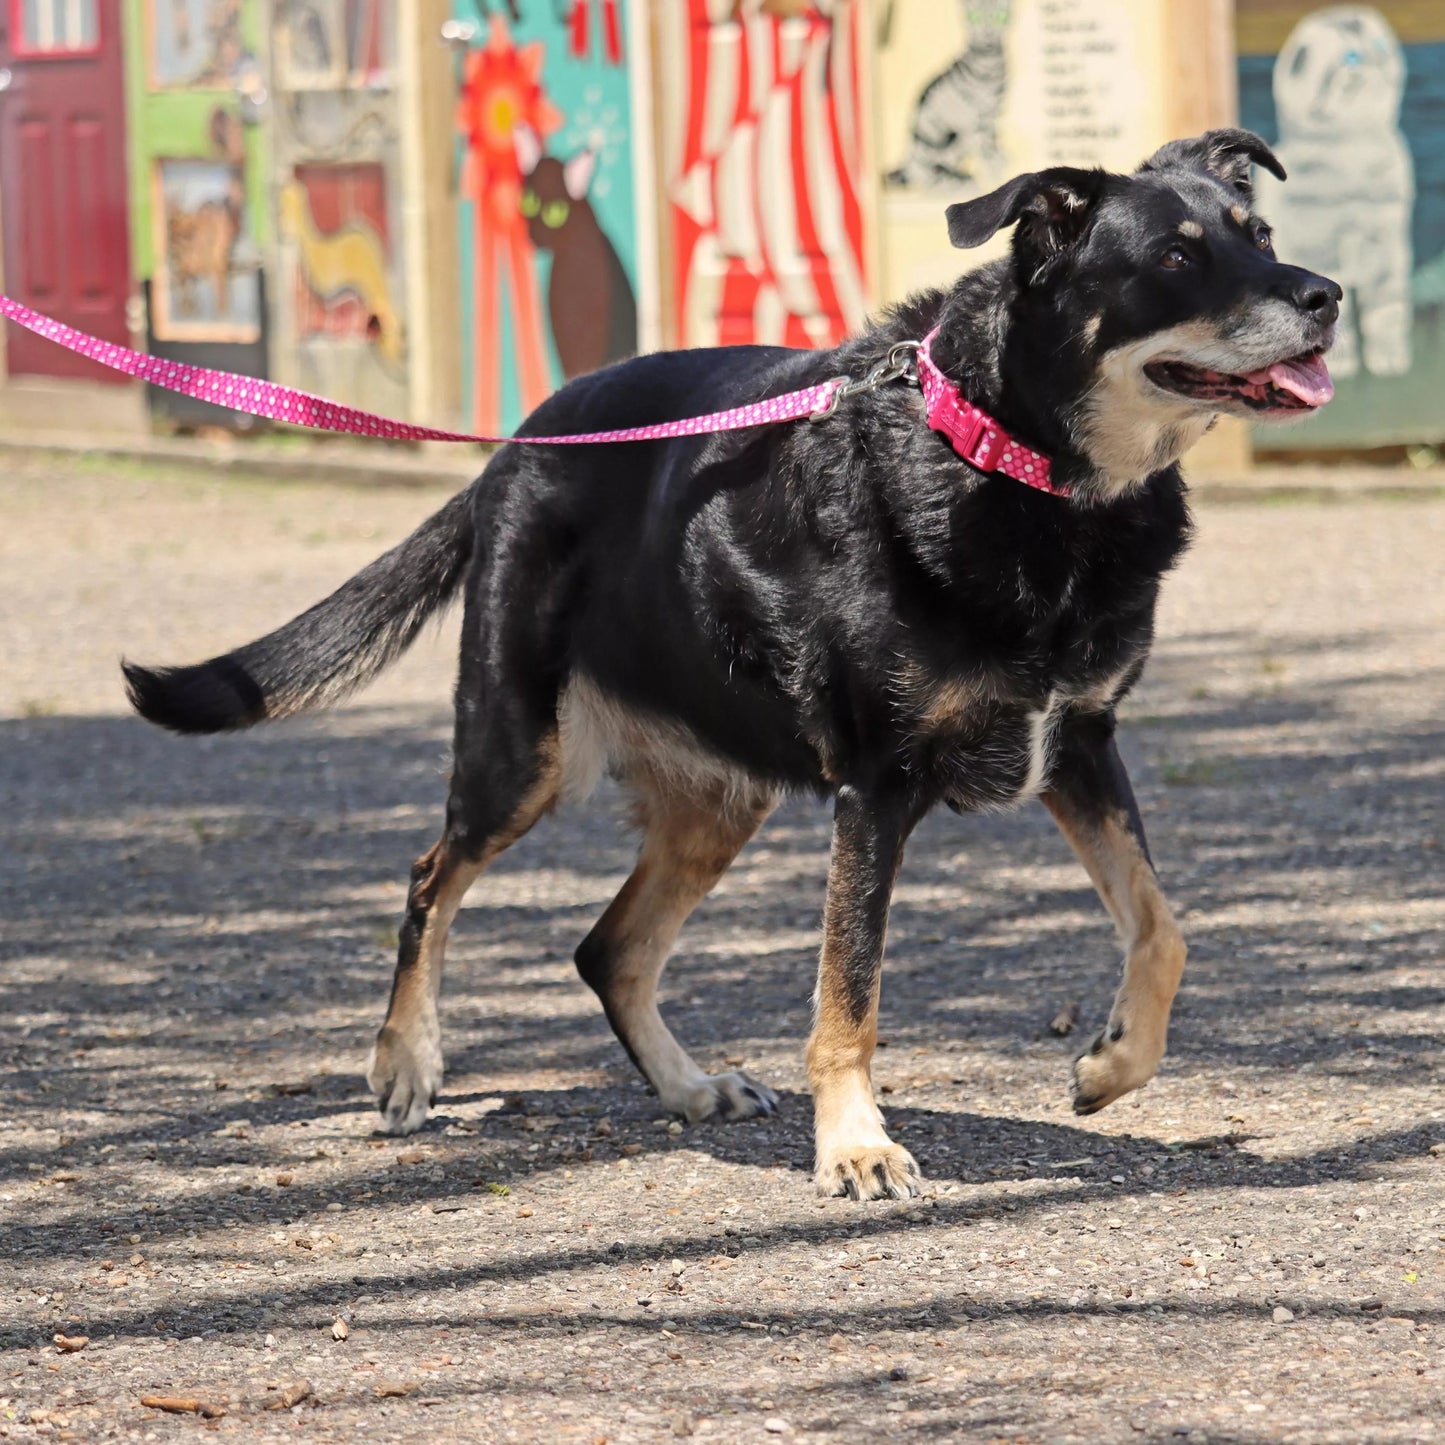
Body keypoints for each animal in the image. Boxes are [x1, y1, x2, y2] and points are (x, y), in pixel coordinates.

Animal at [130, 132, 1335, 1196]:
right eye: (1174, 257)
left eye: (1258, 232)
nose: (1323, 295)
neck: (1012, 463)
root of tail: (516, 449)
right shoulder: (876, 789)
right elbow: (848, 995)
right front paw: (854, 1146)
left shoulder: (1078, 741)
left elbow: (1161, 926)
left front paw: (1110, 1063)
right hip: (519, 753)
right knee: (433, 878)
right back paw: (405, 1062)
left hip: (720, 797)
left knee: (608, 949)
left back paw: (687, 1086)